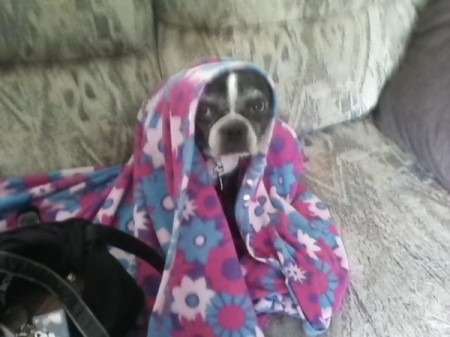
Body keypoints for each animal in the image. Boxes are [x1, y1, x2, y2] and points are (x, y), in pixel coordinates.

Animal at [194, 69, 272, 255]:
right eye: (204, 110)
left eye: (258, 106)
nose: (234, 128)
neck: (220, 161)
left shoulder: (230, 179)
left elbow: (230, 206)